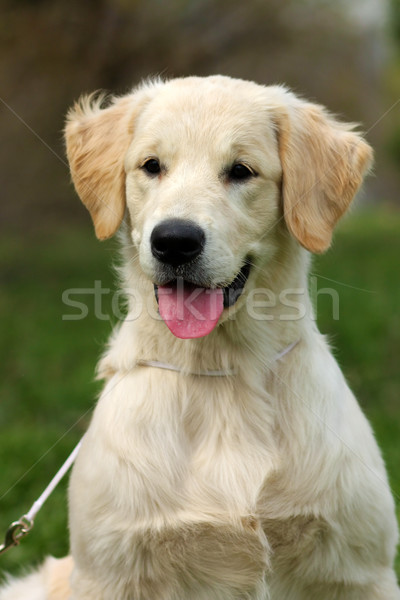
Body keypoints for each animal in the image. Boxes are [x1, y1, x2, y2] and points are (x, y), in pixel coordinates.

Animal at [1, 76, 398, 600]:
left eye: (241, 170)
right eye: (152, 165)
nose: (174, 241)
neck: (222, 370)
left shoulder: (359, 570)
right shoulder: (111, 573)